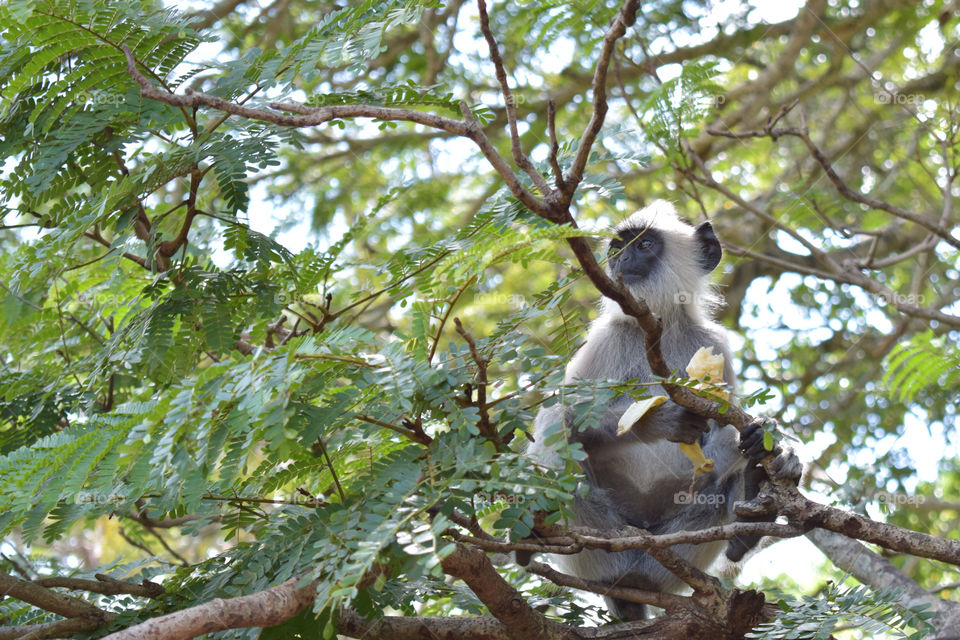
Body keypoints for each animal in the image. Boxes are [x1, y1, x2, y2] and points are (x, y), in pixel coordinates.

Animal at [524, 199, 804, 620]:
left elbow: (726, 429)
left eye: (644, 245)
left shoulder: (714, 343)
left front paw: (771, 443)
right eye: (617, 248)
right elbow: (571, 410)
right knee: (556, 418)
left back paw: (751, 511)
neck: (659, 327)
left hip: (674, 550)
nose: (622, 260)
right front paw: (656, 421)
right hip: (596, 545)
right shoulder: (605, 338)